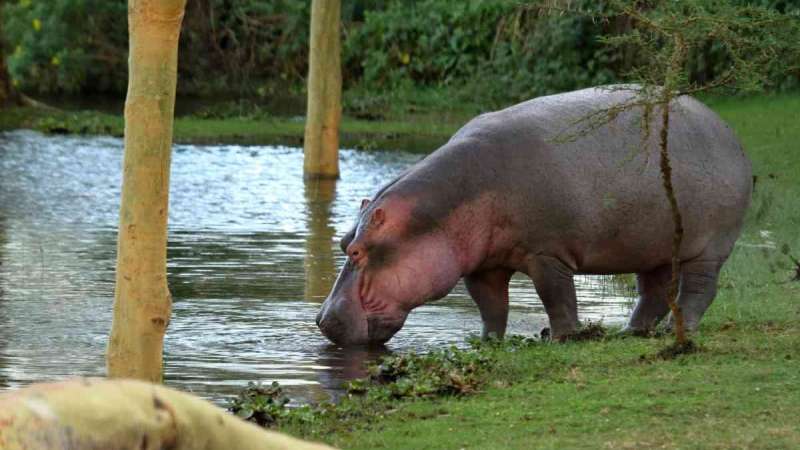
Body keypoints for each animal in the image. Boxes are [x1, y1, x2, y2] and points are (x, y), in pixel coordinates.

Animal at [316, 85, 752, 346]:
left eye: (356, 251)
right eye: (342, 241)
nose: (321, 321)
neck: (442, 208)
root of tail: (728, 132)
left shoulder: (547, 254)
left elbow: (557, 297)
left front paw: (562, 337)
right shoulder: (483, 265)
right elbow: (490, 305)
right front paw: (487, 342)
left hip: (707, 247)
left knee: (699, 290)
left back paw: (680, 330)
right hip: (651, 246)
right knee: (654, 291)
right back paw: (631, 332)